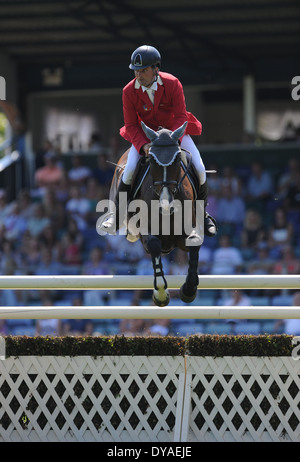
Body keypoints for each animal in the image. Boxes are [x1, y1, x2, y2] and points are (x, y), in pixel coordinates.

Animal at [98, 122, 204, 306]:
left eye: (177, 159)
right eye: (152, 161)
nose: (166, 204)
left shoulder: (185, 232)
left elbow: (194, 243)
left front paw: (189, 290)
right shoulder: (146, 233)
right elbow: (154, 244)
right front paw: (160, 293)